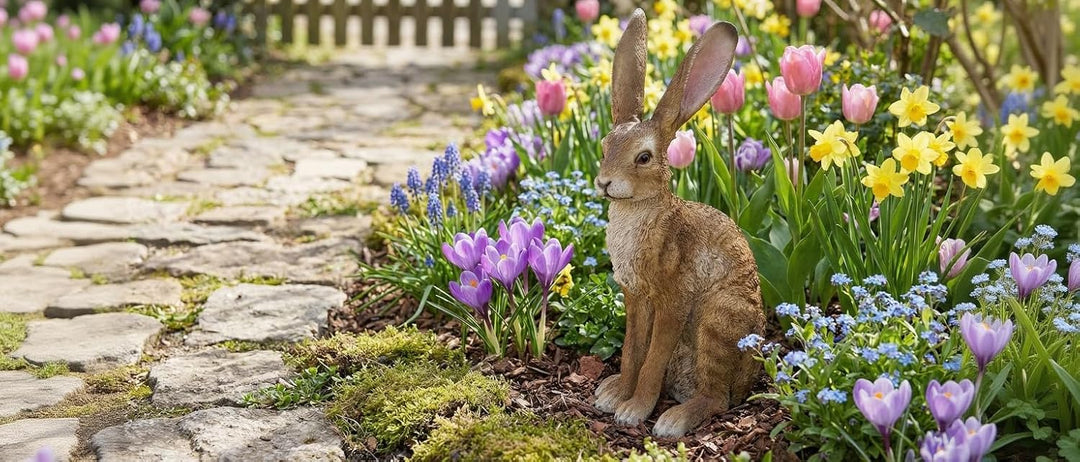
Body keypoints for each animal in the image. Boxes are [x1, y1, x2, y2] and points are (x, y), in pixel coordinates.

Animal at [592, 9, 766, 438]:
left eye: (643, 158)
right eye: (604, 147)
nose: (605, 183)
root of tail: (749, 383)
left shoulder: (673, 300)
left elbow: (652, 358)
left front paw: (633, 411)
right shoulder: (636, 297)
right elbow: (632, 350)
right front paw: (616, 396)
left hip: (718, 322)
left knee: (717, 398)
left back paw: (674, 420)